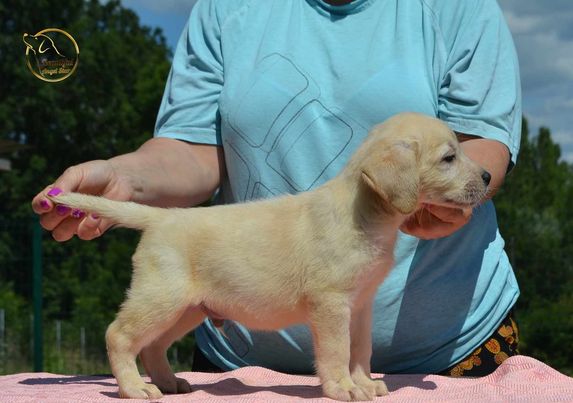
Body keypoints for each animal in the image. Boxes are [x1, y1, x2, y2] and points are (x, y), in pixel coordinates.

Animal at [47, 113, 490, 400]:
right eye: (449, 158)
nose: (488, 177)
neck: (365, 212)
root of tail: (162, 216)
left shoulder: (360, 305)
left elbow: (360, 351)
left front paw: (364, 383)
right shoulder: (330, 305)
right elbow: (337, 351)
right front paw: (342, 388)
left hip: (187, 308)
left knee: (153, 346)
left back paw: (170, 383)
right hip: (160, 297)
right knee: (119, 335)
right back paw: (135, 387)